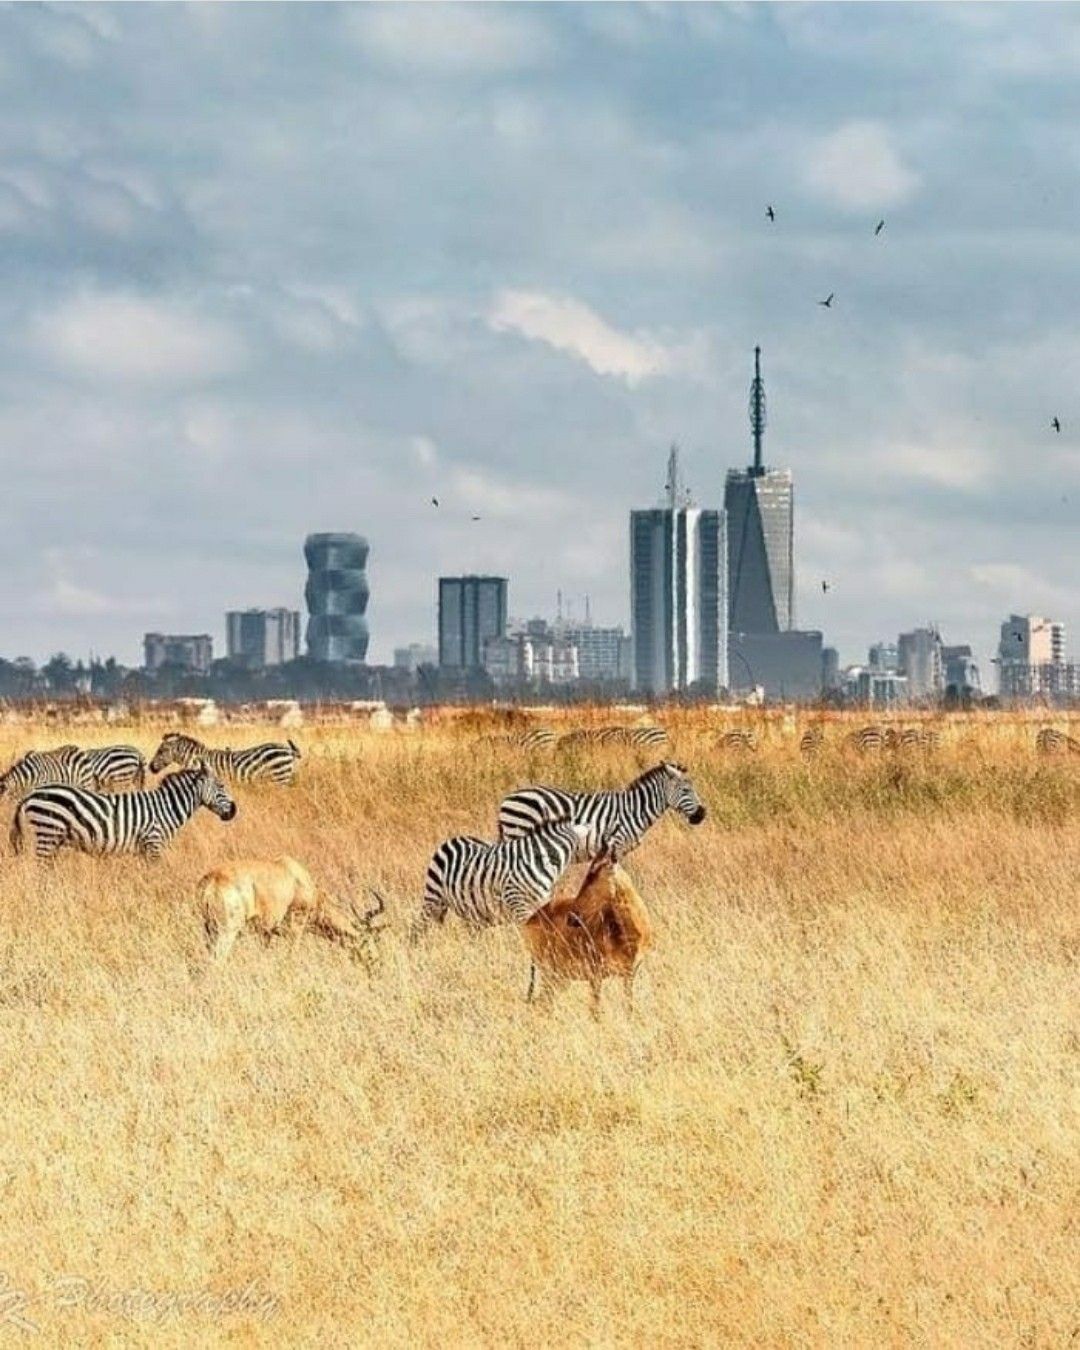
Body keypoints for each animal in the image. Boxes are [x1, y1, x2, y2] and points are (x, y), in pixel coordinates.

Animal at [11, 765, 237, 861]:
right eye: (221, 786)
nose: (234, 811)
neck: (167, 807)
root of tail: (30, 794)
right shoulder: (153, 842)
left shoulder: (144, 848)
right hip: (48, 832)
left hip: (51, 838)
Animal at [197, 856, 385, 964]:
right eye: (369, 943)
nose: (376, 965)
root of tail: (212, 880)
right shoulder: (295, 929)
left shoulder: (266, 932)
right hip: (227, 931)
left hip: (209, 930)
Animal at [417, 820, 590, 930]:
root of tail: (453, 839)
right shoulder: (518, 905)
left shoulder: (542, 905)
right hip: (433, 897)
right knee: (419, 926)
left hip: (473, 911)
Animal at [497, 761, 706, 861]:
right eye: (686, 790)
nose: (702, 815)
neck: (635, 809)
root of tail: (507, 799)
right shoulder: (617, 844)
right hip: (519, 832)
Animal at [522, 847, 653, 1016]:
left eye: (593, 874)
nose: (572, 917)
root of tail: (532, 918)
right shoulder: (596, 977)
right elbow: (595, 1011)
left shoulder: (629, 975)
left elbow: (629, 1009)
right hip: (550, 973)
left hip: (561, 978)